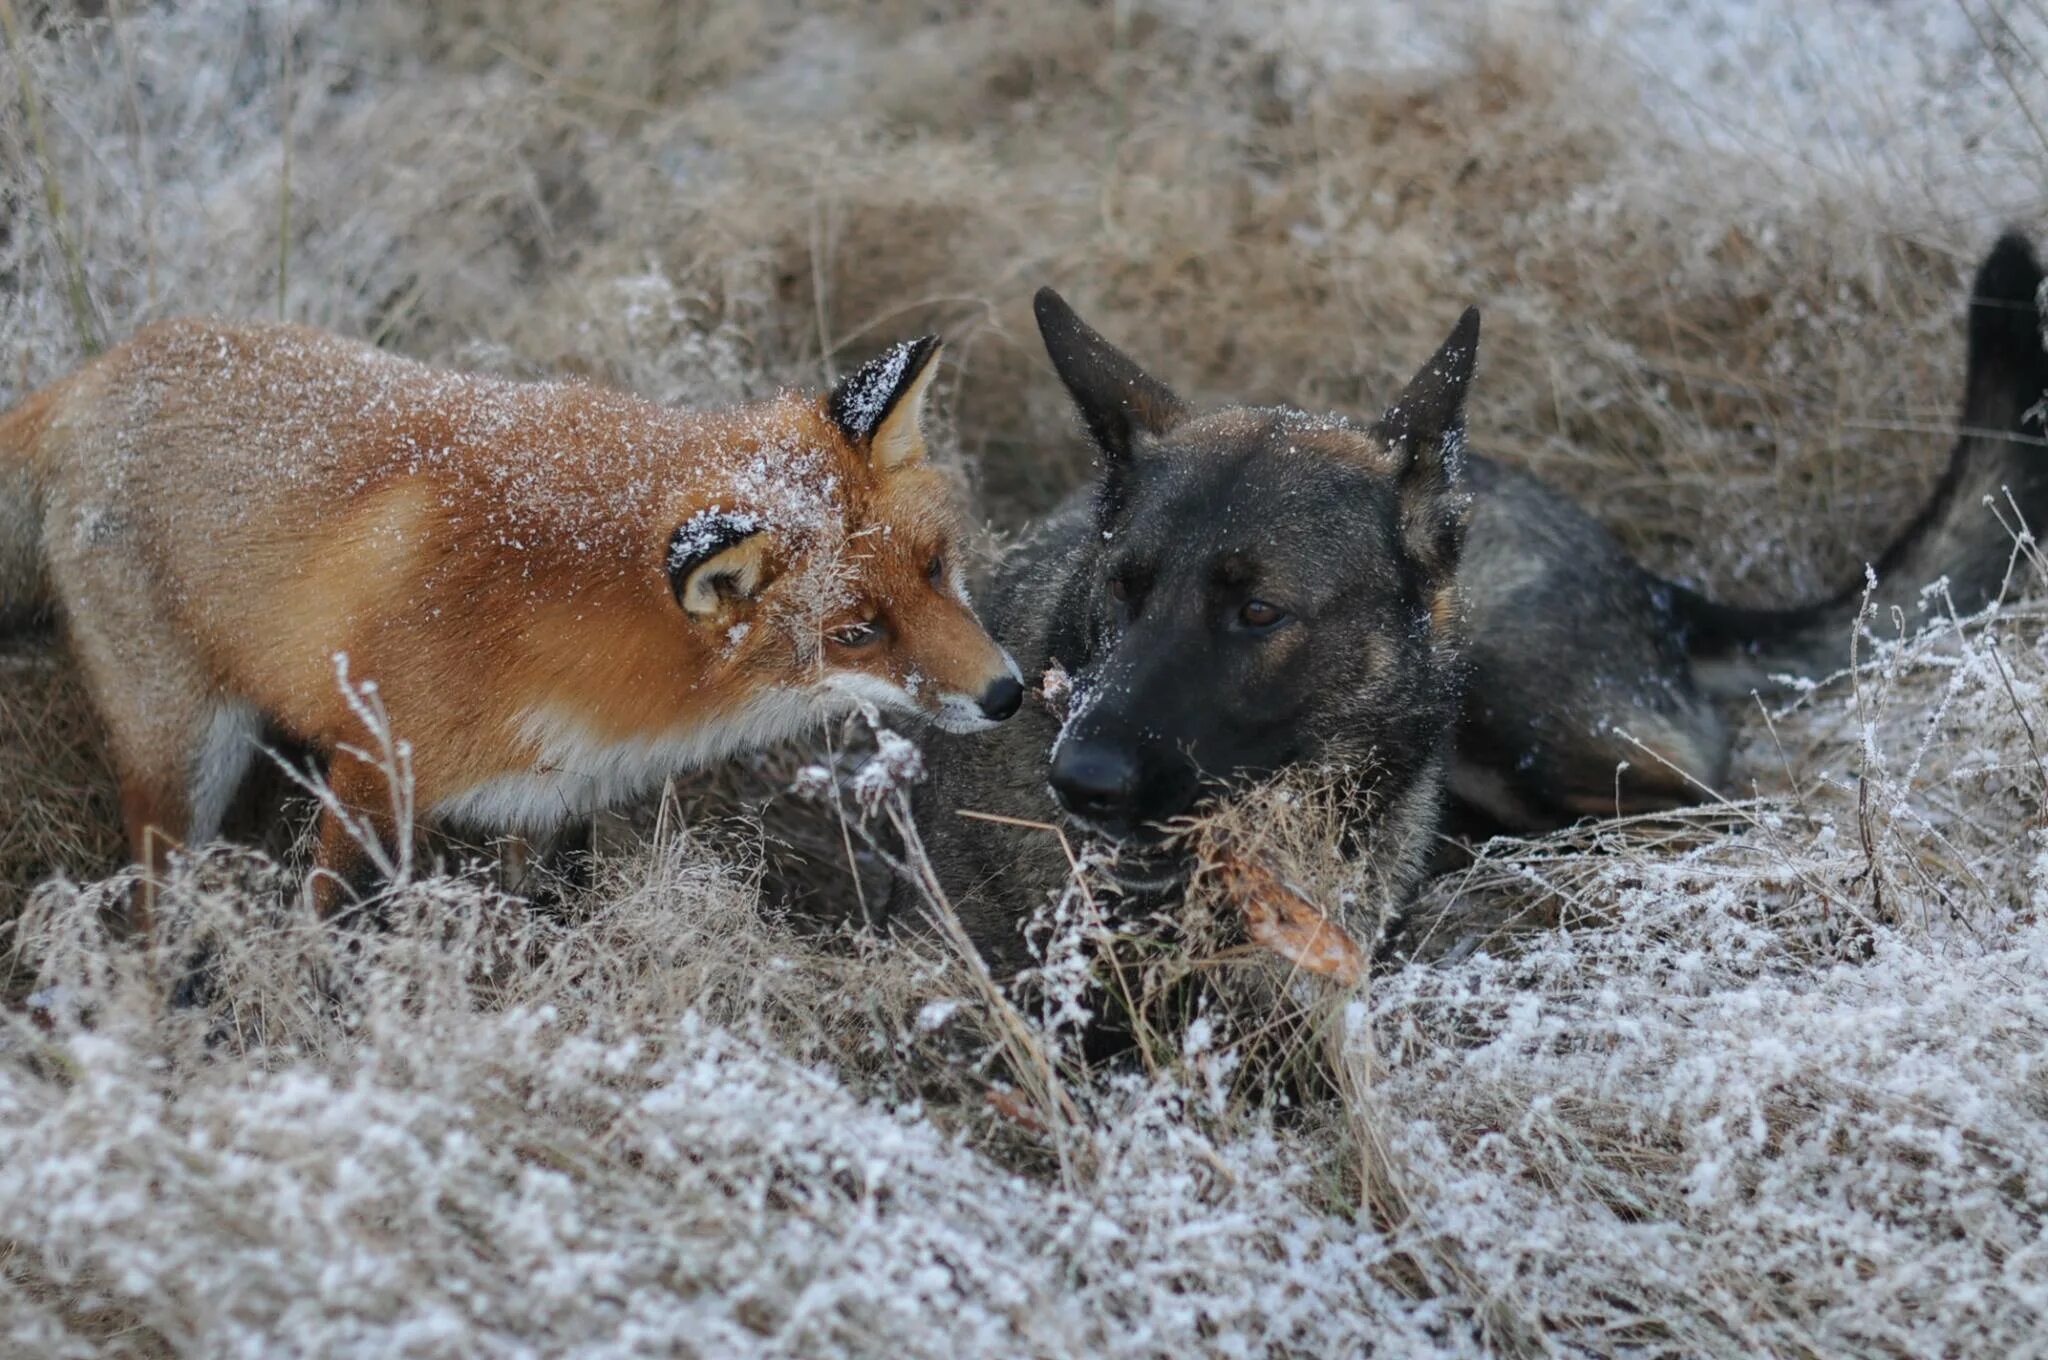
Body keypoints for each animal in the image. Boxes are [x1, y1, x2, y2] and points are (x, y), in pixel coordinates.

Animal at [0, 319, 1024, 917]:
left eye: (937, 570)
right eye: (856, 632)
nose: (1009, 694)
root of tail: (95, 377)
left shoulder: (556, 803)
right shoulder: (374, 767)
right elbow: (330, 919)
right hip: (181, 759)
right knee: (151, 909)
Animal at [901, 231, 2048, 966]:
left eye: (1259, 613)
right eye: (1122, 590)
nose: (1078, 779)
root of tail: (1649, 582)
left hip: (1520, 698)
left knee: (1712, 802)